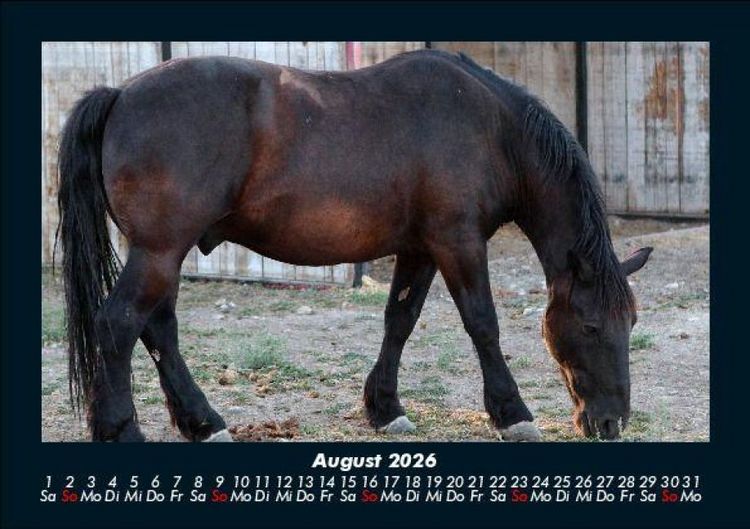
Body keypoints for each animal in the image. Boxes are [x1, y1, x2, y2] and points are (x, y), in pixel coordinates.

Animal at [56, 49, 652, 442]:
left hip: (161, 253)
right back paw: (122, 429)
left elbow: (399, 320)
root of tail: (119, 94)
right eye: (591, 326)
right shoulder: (457, 242)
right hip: (159, 251)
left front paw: (385, 408)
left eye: (631, 323)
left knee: (157, 329)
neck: (491, 129)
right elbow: (483, 323)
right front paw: (513, 413)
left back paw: (201, 422)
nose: (611, 422)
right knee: (119, 325)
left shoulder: (419, 249)